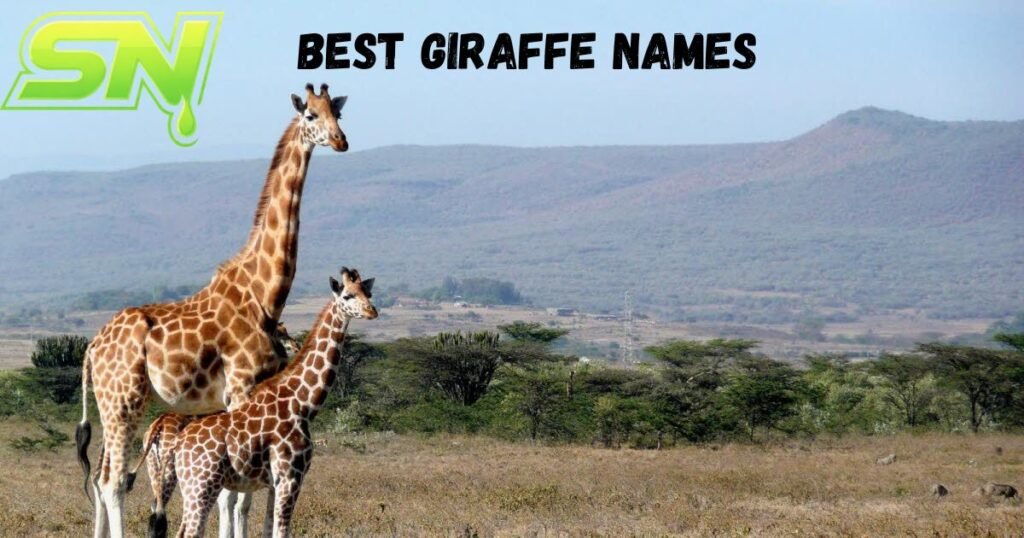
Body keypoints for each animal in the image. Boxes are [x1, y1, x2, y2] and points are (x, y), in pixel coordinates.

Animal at [77, 83, 350, 538]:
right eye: (310, 115)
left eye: (338, 113)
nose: (341, 140)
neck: (265, 292)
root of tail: (93, 347)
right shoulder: (240, 388)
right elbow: (232, 497)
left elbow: (239, 495)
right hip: (124, 400)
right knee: (114, 482)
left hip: (109, 403)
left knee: (99, 478)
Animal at [152, 267, 376, 538]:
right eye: (347, 296)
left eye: (368, 293)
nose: (372, 311)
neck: (303, 403)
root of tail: (178, 446)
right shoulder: (290, 476)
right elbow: (281, 531)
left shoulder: (274, 482)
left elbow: (269, 529)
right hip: (202, 485)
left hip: (188, 486)